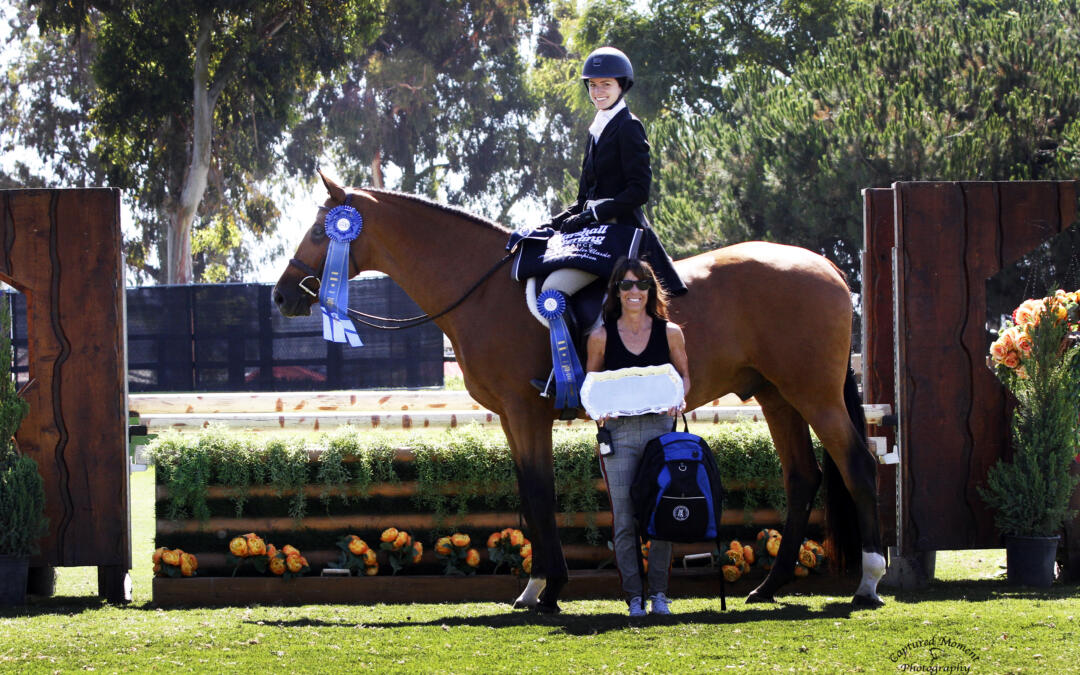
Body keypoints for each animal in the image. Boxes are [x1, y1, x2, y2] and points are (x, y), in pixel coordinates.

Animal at [272, 172, 885, 609]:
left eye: (321, 230)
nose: (283, 296)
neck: (483, 289)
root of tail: (828, 268)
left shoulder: (525, 412)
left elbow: (540, 493)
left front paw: (551, 592)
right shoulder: (513, 418)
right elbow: (527, 493)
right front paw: (534, 588)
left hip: (813, 395)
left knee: (857, 464)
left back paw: (869, 582)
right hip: (777, 396)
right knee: (802, 477)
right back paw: (770, 587)